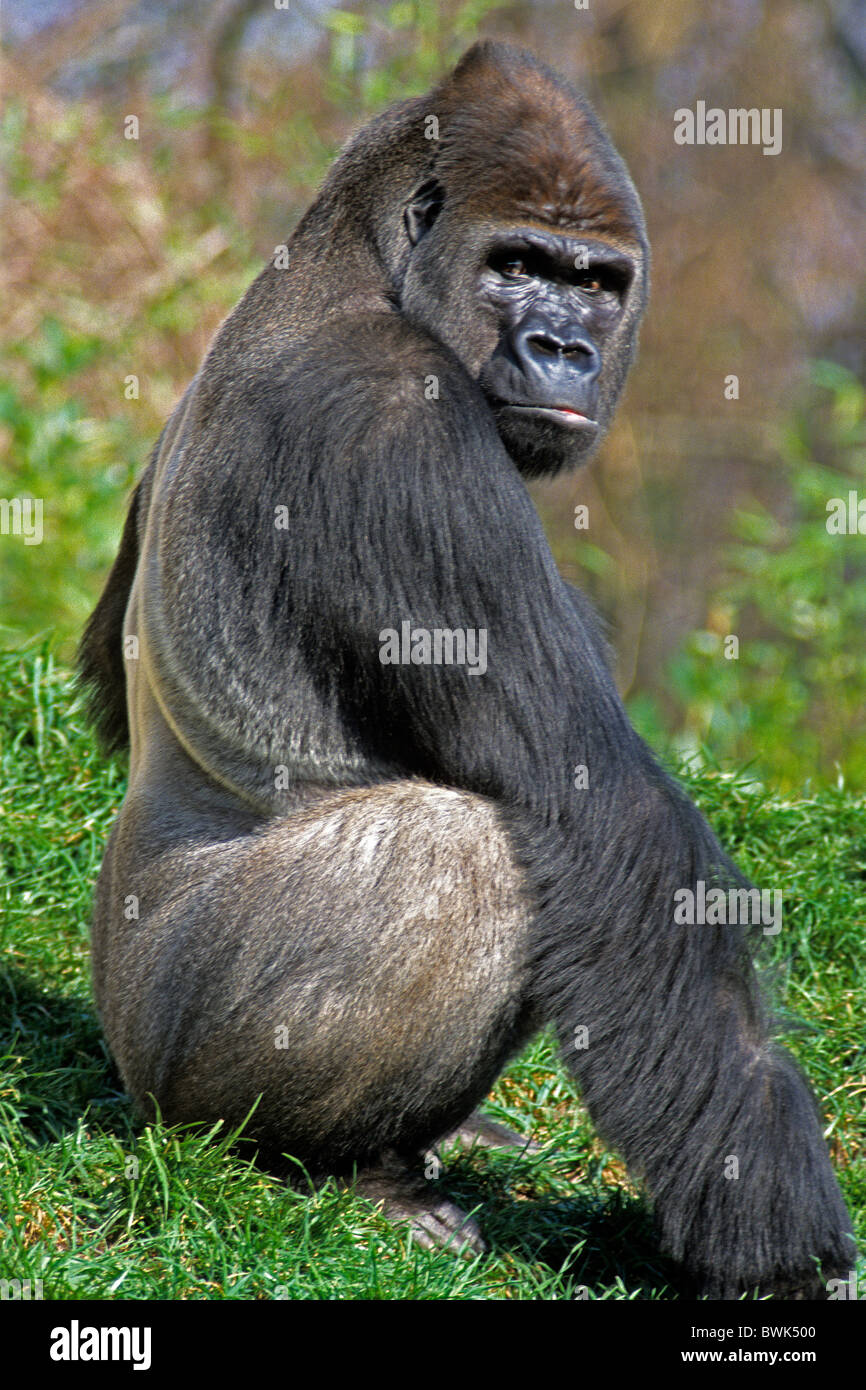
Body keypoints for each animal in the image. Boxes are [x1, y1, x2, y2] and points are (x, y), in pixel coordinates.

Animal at [79, 43, 856, 1301]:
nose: (563, 348)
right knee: (465, 850)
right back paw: (329, 1166)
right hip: (170, 1066)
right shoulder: (402, 421)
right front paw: (773, 1229)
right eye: (516, 265)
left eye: (595, 282)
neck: (351, 267)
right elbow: (597, 817)